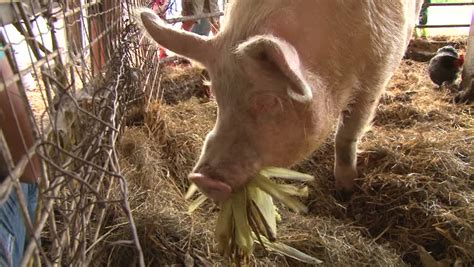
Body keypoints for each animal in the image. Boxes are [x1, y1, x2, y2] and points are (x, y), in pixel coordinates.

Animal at [137, 0, 422, 201]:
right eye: (218, 96)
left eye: (268, 101)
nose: (201, 178)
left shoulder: (379, 68)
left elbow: (347, 134)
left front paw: (345, 190)